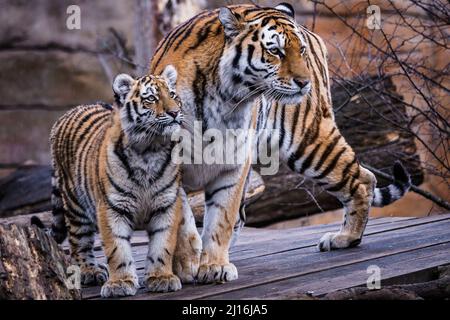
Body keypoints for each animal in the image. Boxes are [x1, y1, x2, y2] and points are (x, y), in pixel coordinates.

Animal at [149, 1, 410, 282]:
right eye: (275, 51)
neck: (222, 97)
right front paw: (189, 262)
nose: (304, 83)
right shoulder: (170, 165)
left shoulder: (233, 162)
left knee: (362, 180)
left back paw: (345, 238)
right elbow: (183, 220)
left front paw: (214, 266)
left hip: (309, 142)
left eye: (300, 50)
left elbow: (221, 217)